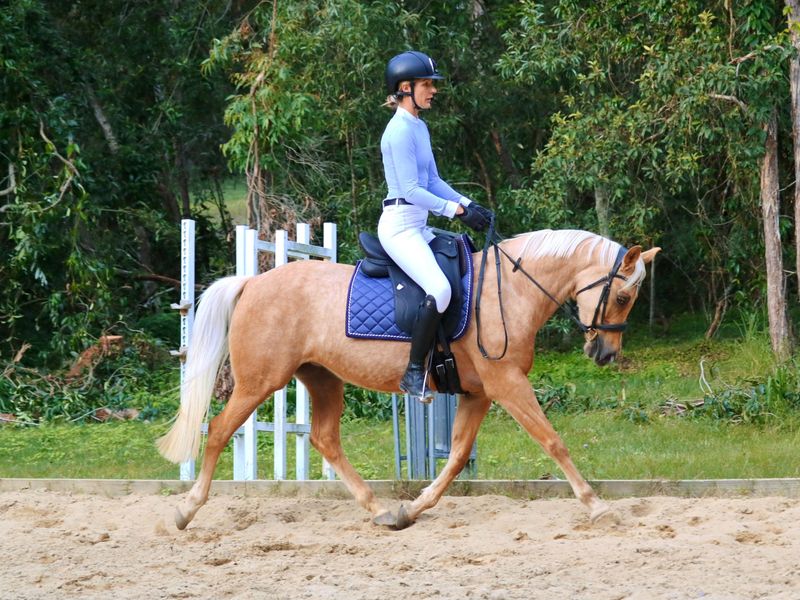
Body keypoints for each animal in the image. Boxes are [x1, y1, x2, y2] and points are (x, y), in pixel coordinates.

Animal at [157, 228, 660, 530]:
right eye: (621, 296)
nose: (605, 354)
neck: (508, 292)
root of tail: (252, 283)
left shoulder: (478, 393)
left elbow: (455, 458)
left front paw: (410, 509)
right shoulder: (507, 384)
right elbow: (553, 441)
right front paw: (597, 505)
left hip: (322, 379)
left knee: (324, 439)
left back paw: (378, 508)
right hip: (260, 381)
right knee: (220, 429)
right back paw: (185, 509)